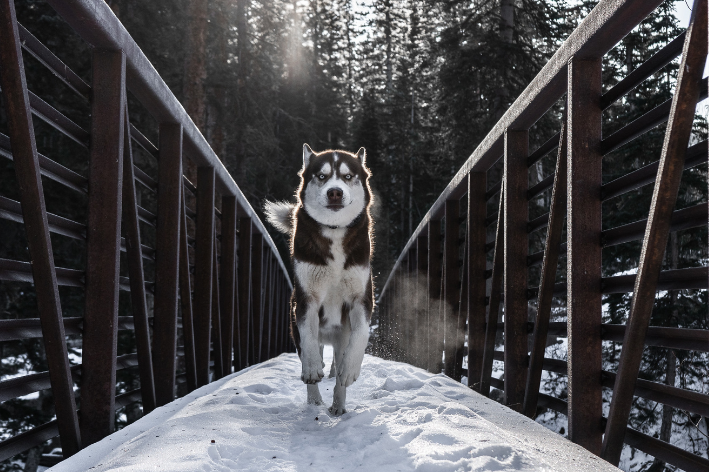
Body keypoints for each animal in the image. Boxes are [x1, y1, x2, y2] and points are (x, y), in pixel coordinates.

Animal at [266, 145, 376, 416]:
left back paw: (338, 404)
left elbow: (361, 334)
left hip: (341, 334)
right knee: (312, 347)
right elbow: (308, 337)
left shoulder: (361, 298)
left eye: (348, 176)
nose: (335, 192)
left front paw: (349, 369)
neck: (334, 232)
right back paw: (315, 399)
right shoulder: (306, 299)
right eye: (322, 176)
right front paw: (313, 369)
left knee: (339, 362)